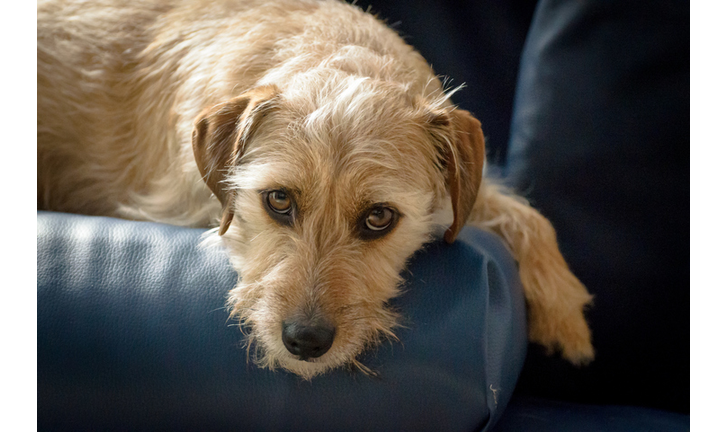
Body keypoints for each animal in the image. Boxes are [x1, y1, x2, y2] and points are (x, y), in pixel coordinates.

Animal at [37, 0, 596, 378]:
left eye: (379, 217)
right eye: (278, 200)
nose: (305, 342)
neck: (335, 51)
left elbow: (526, 215)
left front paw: (566, 316)